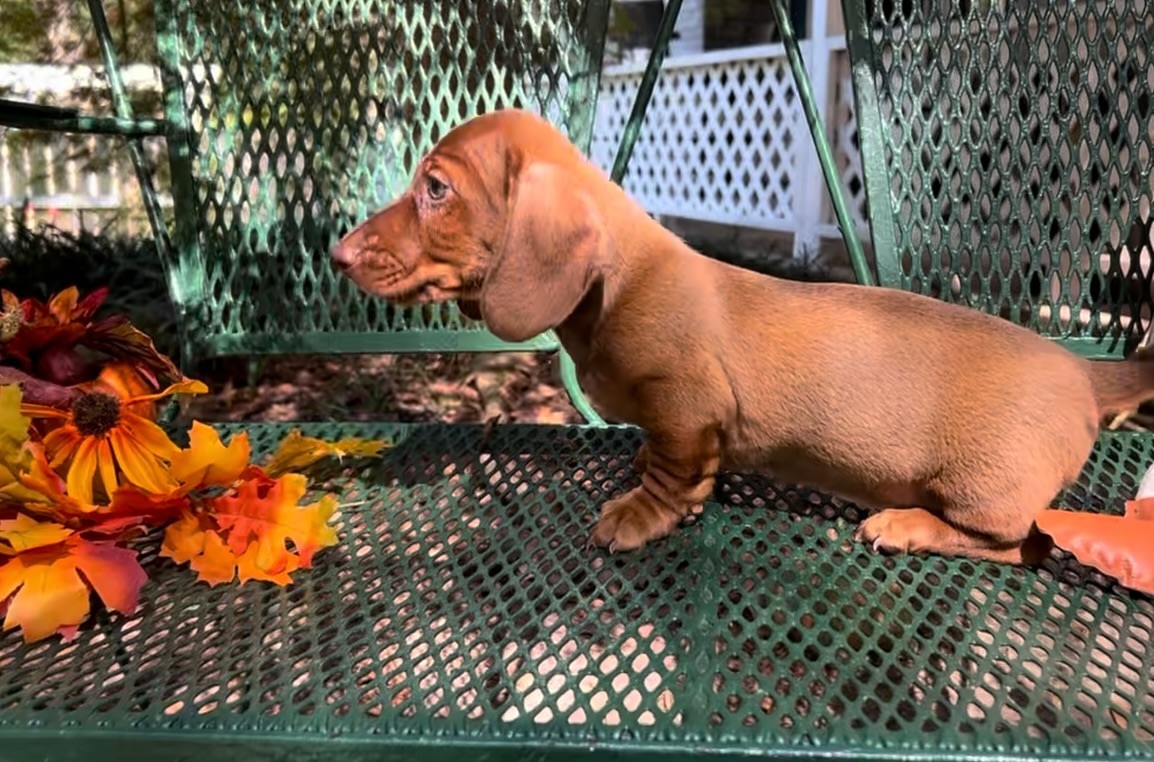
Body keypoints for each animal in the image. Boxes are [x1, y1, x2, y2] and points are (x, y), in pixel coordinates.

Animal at [330, 111, 1154, 565]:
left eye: (436, 188)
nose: (337, 255)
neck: (617, 282)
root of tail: (1085, 376)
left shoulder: (687, 411)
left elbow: (673, 478)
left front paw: (637, 513)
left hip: (982, 492)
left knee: (1022, 545)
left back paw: (907, 525)